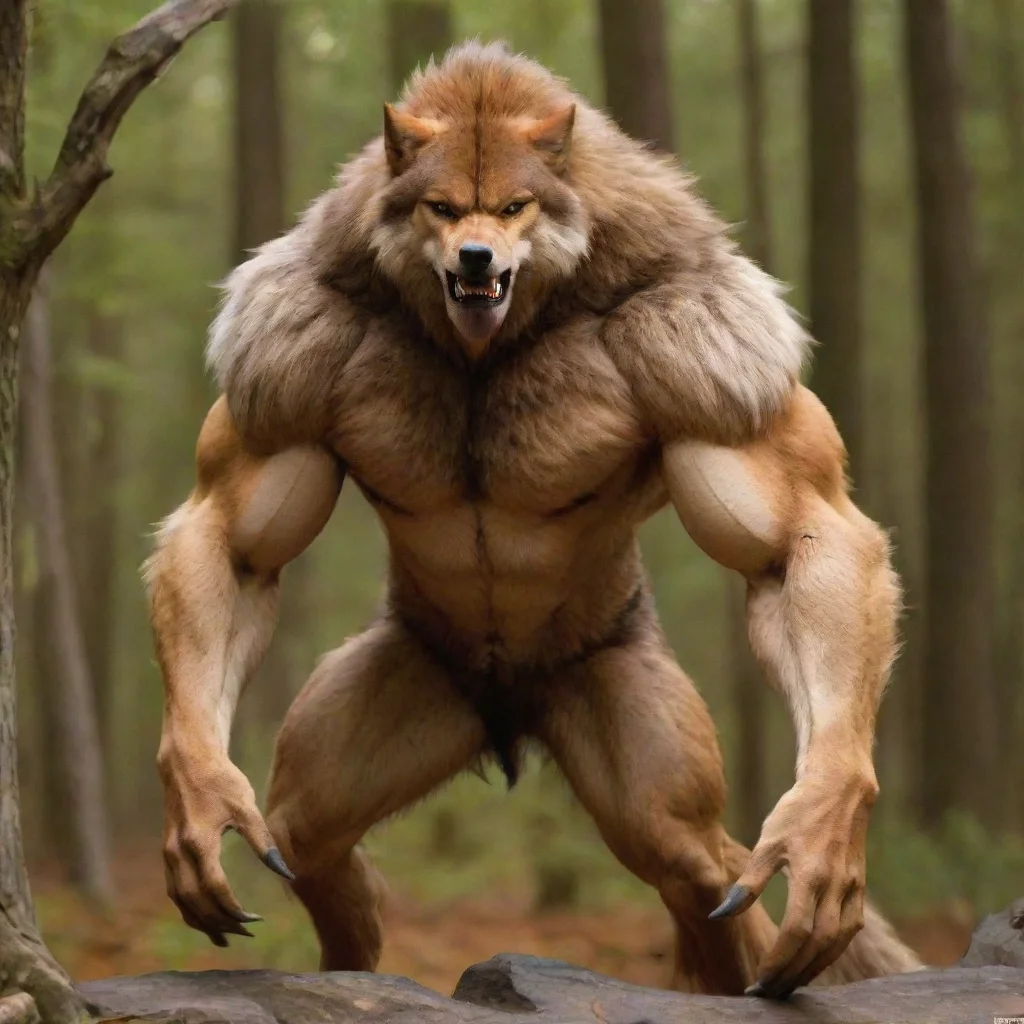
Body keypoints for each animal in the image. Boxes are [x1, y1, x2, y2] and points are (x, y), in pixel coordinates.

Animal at [144, 42, 922, 996]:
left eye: (516, 205)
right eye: (441, 207)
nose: (477, 257)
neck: (490, 343)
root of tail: (508, 712)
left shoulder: (704, 339)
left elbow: (794, 540)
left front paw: (824, 817)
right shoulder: (290, 342)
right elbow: (232, 541)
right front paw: (198, 790)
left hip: (627, 720)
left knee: (695, 862)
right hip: (409, 688)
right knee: (309, 828)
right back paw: (351, 951)